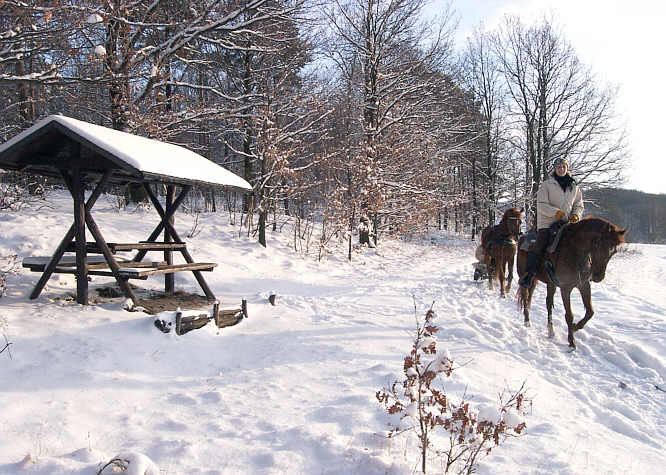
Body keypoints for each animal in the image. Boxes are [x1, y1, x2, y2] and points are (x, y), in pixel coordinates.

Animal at [512, 218, 628, 352]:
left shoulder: (584, 285)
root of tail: (522, 237)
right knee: (526, 297)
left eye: (613, 251)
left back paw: (550, 331)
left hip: (548, 283)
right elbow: (569, 315)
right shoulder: (565, 288)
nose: (598, 277)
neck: (575, 251)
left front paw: (575, 327)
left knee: (546, 302)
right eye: (599, 245)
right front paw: (572, 342)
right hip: (525, 276)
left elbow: (590, 312)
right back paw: (527, 321)